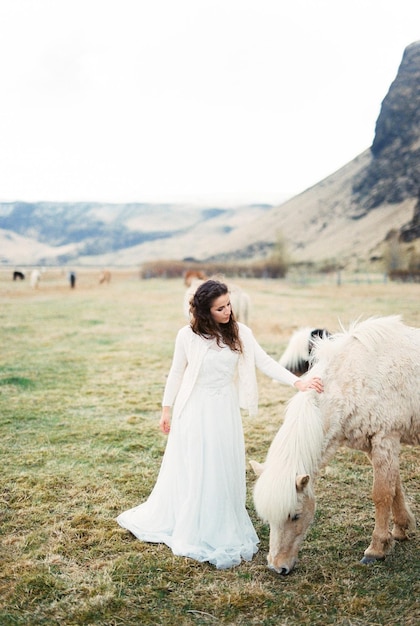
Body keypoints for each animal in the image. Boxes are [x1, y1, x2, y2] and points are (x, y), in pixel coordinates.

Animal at [251, 314, 418, 572]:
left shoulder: (385, 439)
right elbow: (395, 488)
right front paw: (400, 529)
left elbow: (382, 494)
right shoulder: (376, 446)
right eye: (268, 518)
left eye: (295, 516)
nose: (278, 567)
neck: (356, 378)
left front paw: (376, 549)